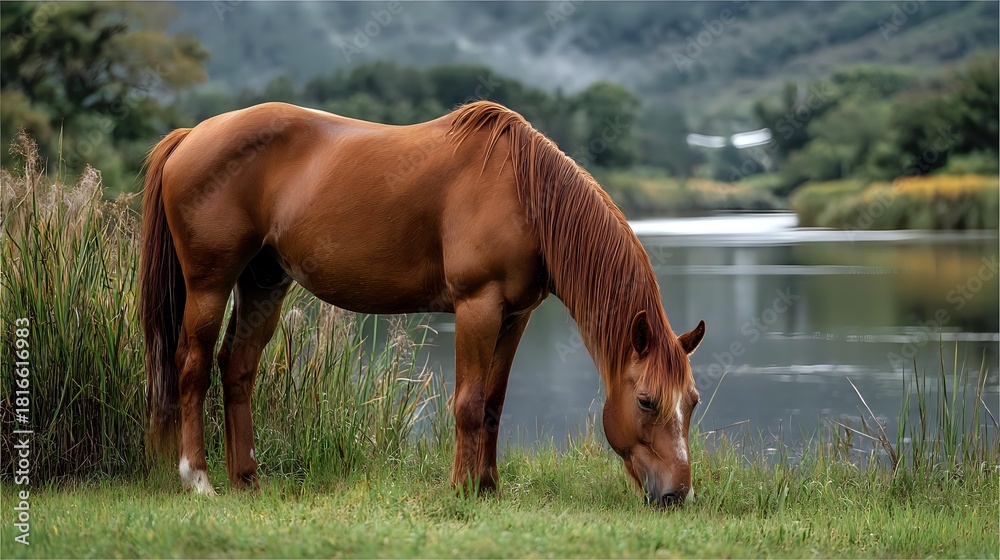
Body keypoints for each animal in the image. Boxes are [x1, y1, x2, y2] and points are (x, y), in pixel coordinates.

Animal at [139, 100, 706, 507]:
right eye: (646, 401)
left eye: (693, 402)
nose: (677, 494)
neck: (524, 196)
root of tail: (191, 135)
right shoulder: (478, 306)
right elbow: (469, 403)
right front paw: (461, 489)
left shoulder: (515, 316)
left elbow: (494, 403)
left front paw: (488, 486)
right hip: (210, 285)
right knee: (191, 366)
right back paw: (198, 479)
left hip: (264, 283)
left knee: (237, 368)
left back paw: (246, 480)